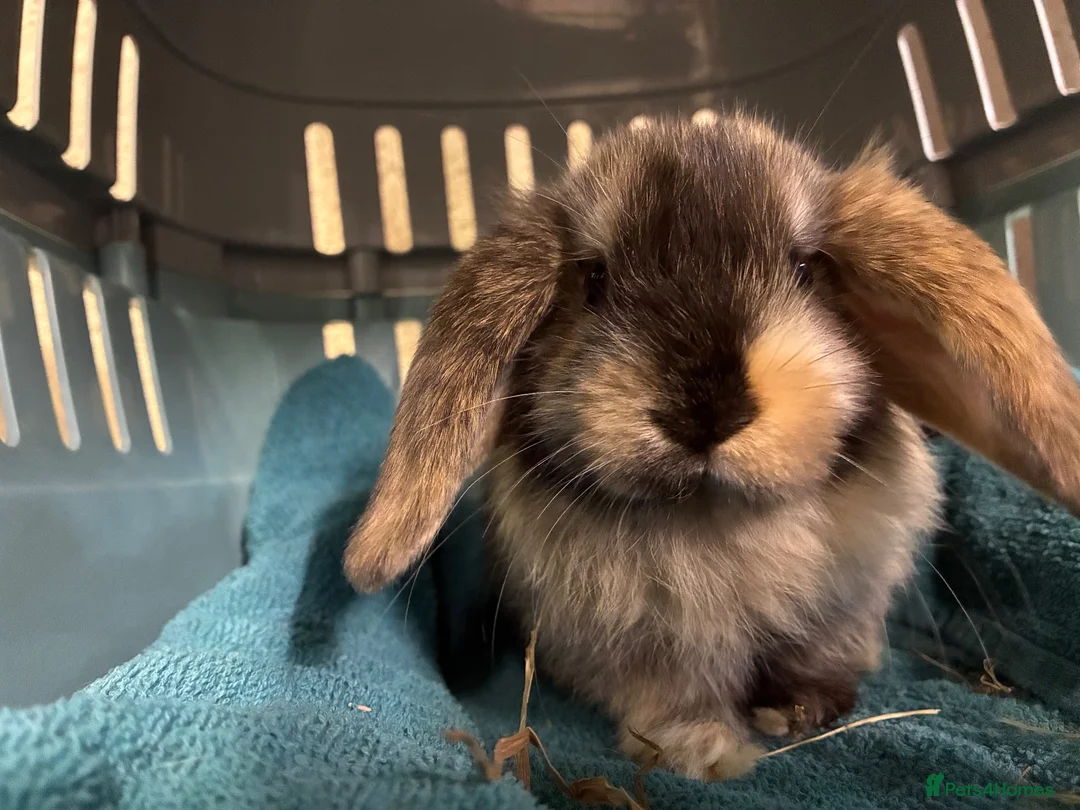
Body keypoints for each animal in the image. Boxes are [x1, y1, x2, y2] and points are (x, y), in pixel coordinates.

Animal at [343, 114, 1080, 781]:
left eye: (807, 268)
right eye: (593, 279)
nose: (705, 409)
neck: (717, 521)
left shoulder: (838, 614)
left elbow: (817, 663)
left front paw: (800, 713)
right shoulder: (646, 652)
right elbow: (671, 702)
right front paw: (709, 755)